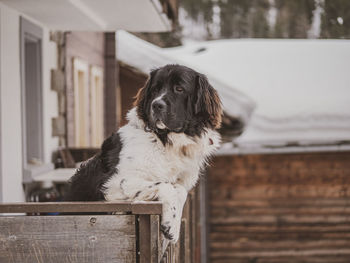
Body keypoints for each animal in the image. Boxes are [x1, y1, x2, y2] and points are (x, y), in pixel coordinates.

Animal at [65, 64, 221, 243]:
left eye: (179, 89)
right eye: (155, 89)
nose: (156, 105)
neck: (164, 141)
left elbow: (180, 190)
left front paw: (173, 227)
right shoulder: (114, 183)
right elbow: (166, 186)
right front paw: (170, 225)